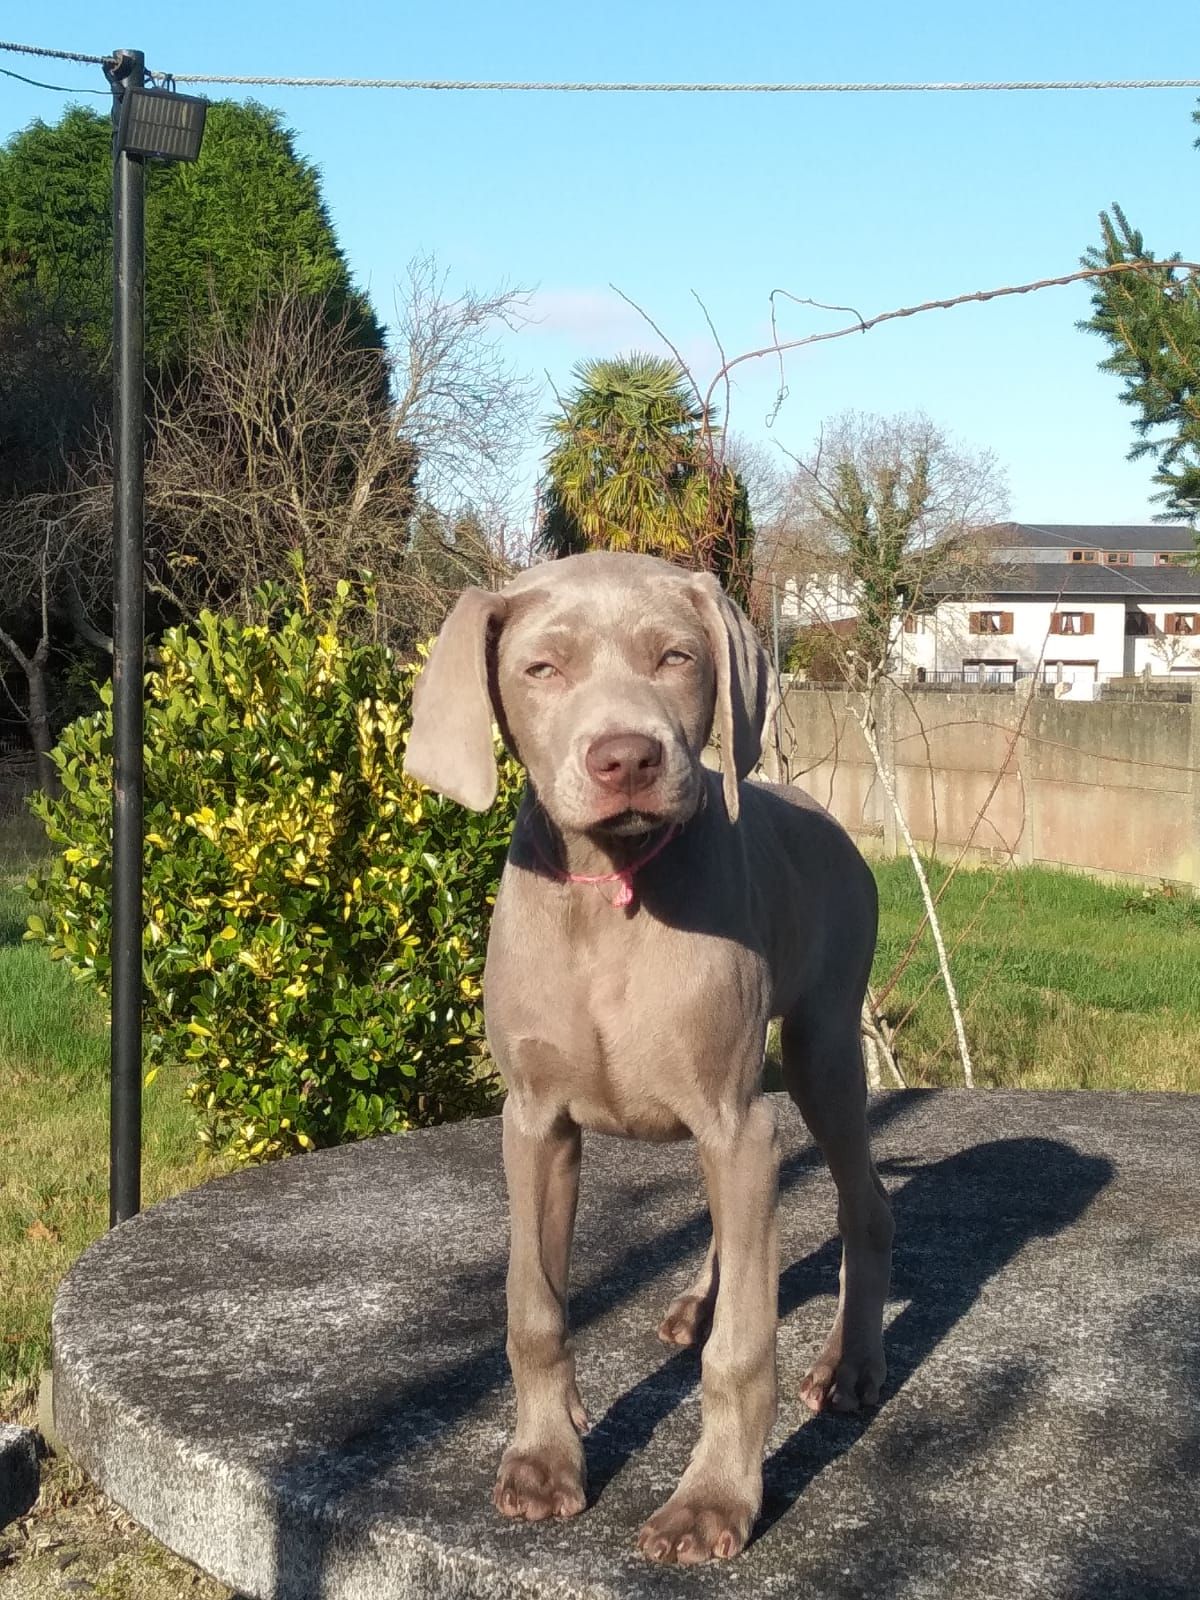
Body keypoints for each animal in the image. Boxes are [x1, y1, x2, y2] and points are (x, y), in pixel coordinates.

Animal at [403, 551, 892, 1564]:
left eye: (675, 658)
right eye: (542, 669)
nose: (625, 757)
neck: (610, 890)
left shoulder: (738, 1121)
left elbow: (741, 1354)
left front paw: (713, 1503)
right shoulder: (534, 1121)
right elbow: (534, 1307)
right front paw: (544, 1459)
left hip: (824, 1043)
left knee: (864, 1202)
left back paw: (852, 1366)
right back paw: (700, 1302)